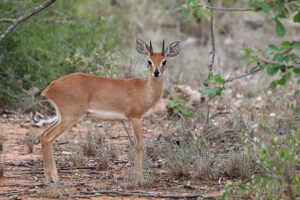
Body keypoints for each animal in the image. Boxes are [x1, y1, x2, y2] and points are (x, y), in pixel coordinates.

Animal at [39, 38, 180, 184]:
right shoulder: (136, 118)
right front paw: (141, 179)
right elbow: (139, 145)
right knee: (48, 137)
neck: (145, 90)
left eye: (164, 61)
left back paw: (49, 177)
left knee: (43, 135)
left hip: (60, 117)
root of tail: (50, 87)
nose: (156, 73)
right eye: (149, 61)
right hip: (69, 117)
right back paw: (54, 178)